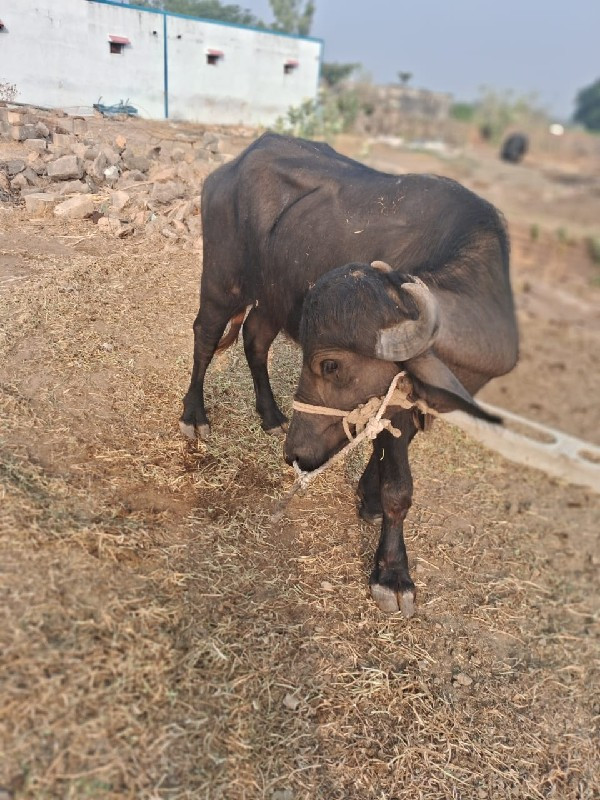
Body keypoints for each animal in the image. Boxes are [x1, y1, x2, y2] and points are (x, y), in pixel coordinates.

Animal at [180, 134, 516, 616]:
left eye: (329, 365)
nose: (295, 453)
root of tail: (231, 167)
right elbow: (399, 486)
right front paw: (393, 575)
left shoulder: (408, 401)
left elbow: (383, 450)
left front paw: (368, 498)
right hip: (223, 280)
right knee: (205, 335)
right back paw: (194, 416)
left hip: (272, 294)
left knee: (255, 339)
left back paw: (270, 414)